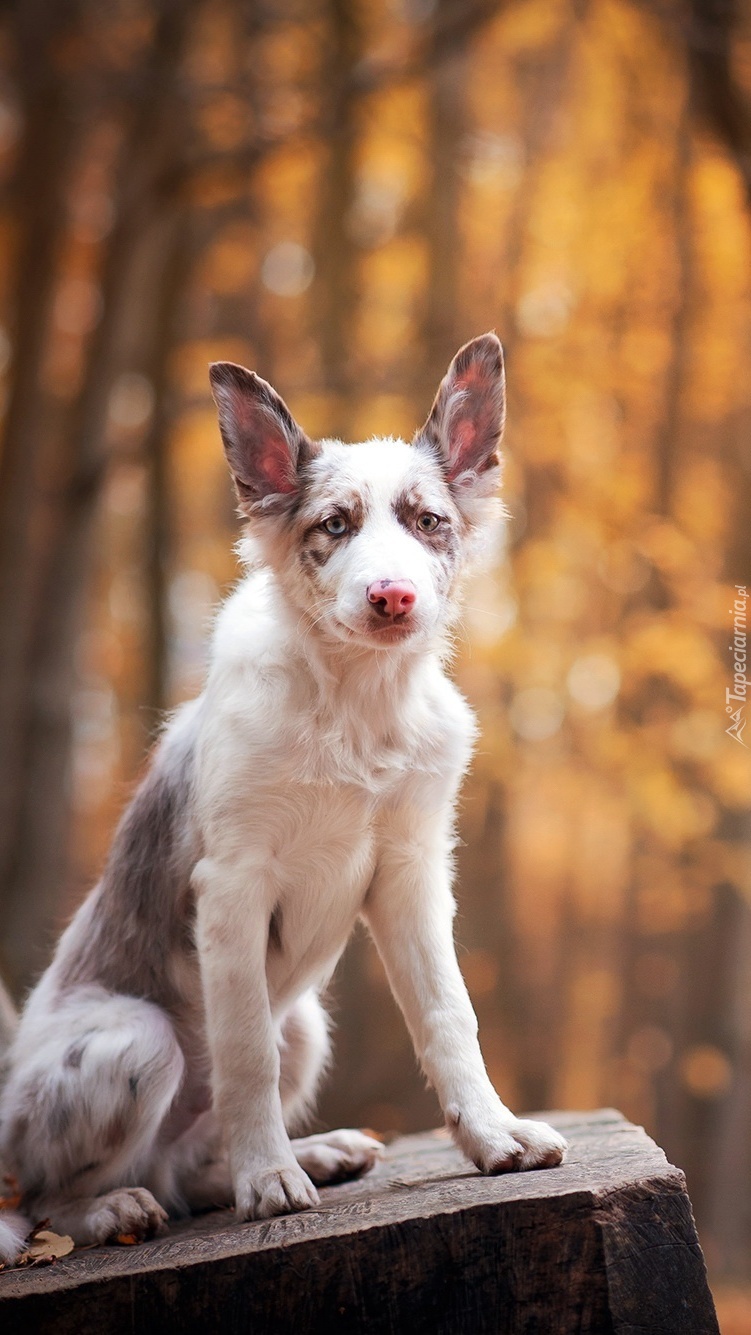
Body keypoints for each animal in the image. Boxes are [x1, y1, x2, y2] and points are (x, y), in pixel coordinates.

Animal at [0, 331, 565, 1260]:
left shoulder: (410, 871)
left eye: (428, 521)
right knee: (50, 1198)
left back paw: (314, 1153)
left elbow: (448, 1016)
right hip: (136, 1039)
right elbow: (242, 1055)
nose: (391, 596)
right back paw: (117, 1209)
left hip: (306, 1022)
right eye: (333, 525)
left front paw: (493, 1136)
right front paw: (268, 1180)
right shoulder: (231, 885)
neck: (356, 702)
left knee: (187, 1170)